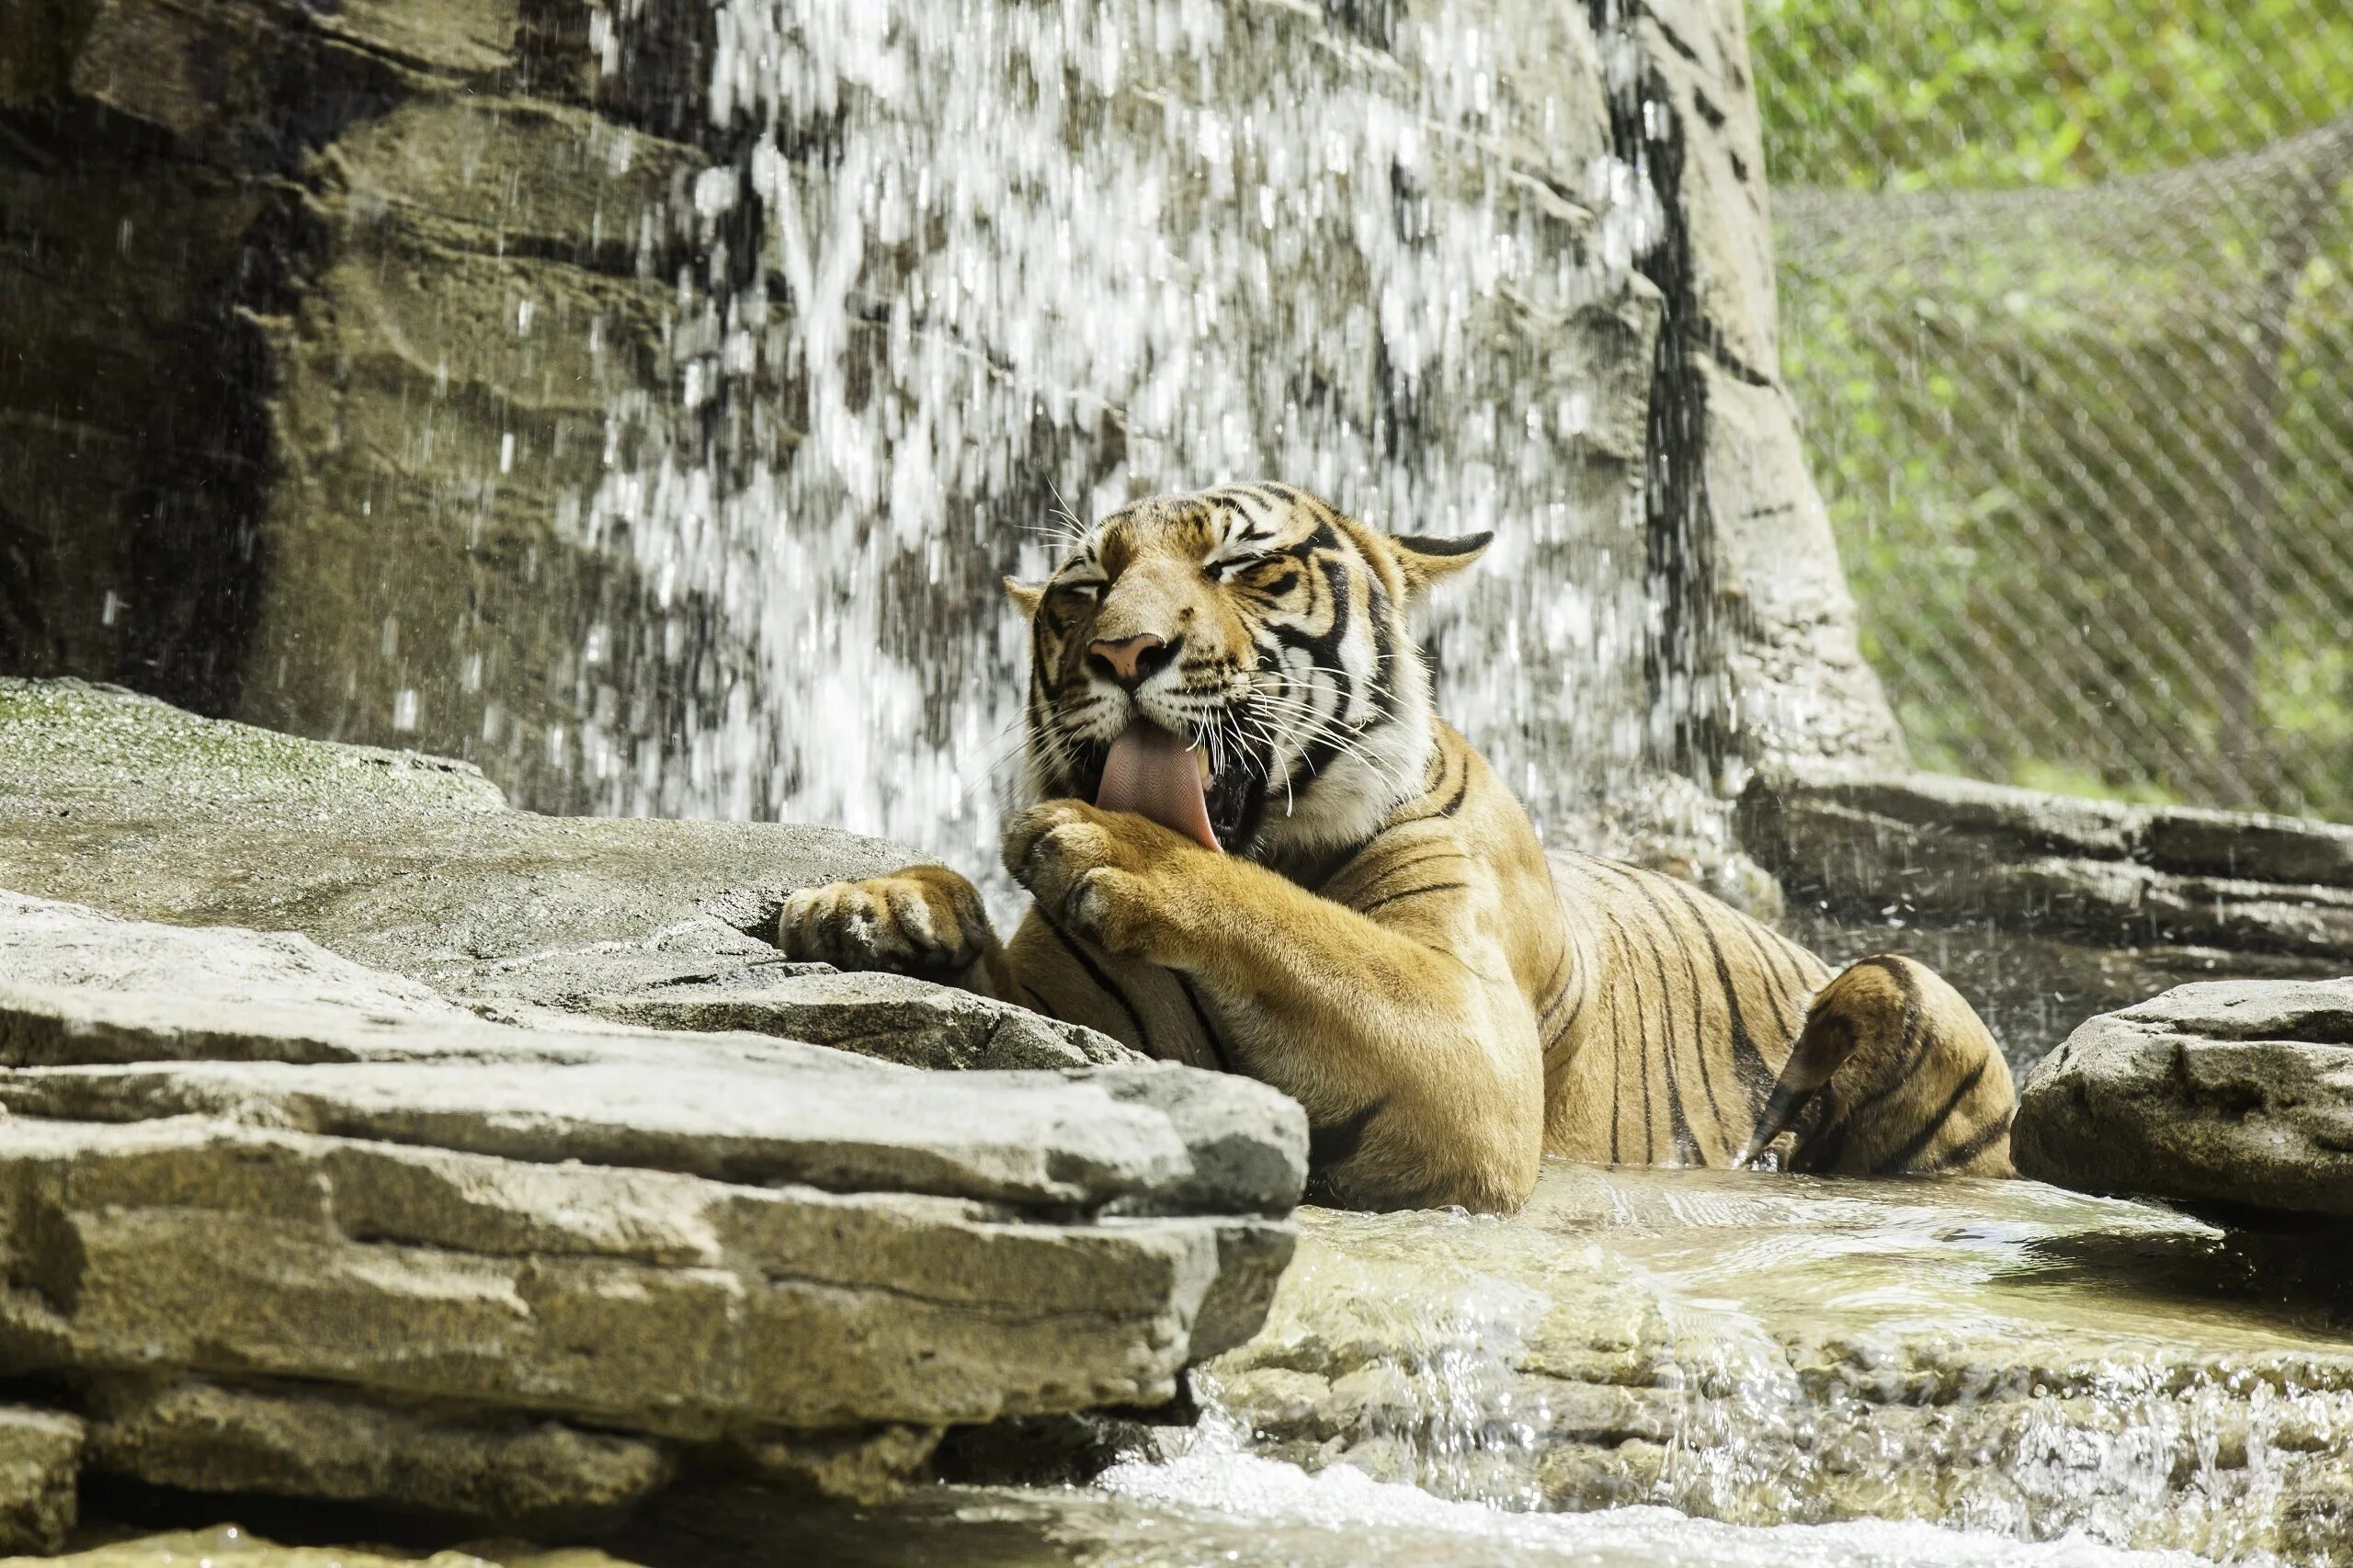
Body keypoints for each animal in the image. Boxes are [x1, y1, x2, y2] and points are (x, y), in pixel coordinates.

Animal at [776, 480, 2023, 1205]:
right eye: (1084, 587)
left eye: (1240, 566)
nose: (1123, 652)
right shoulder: (1068, 1005)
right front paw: (879, 906)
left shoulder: (1472, 1032)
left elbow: (1303, 928)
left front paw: (1115, 846)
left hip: (1897, 985)